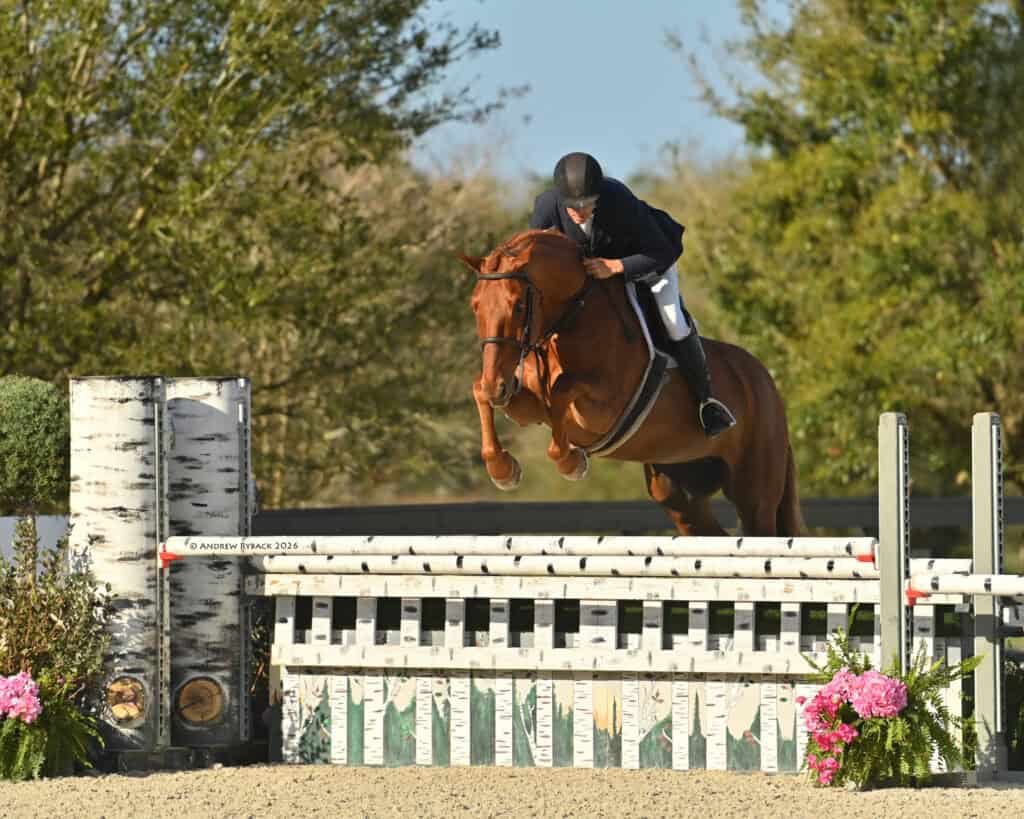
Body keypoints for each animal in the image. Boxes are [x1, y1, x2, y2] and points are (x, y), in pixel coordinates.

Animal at [461, 228, 803, 537]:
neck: (574, 314)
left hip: (754, 492)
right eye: (475, 305)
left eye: (518, 305)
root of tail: (766, 382)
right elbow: (479, 390)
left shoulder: (603, 408)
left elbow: (562, 391)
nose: (497, 386)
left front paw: (573, 462)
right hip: (678, 490)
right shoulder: (523, 400)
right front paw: (503, 470)